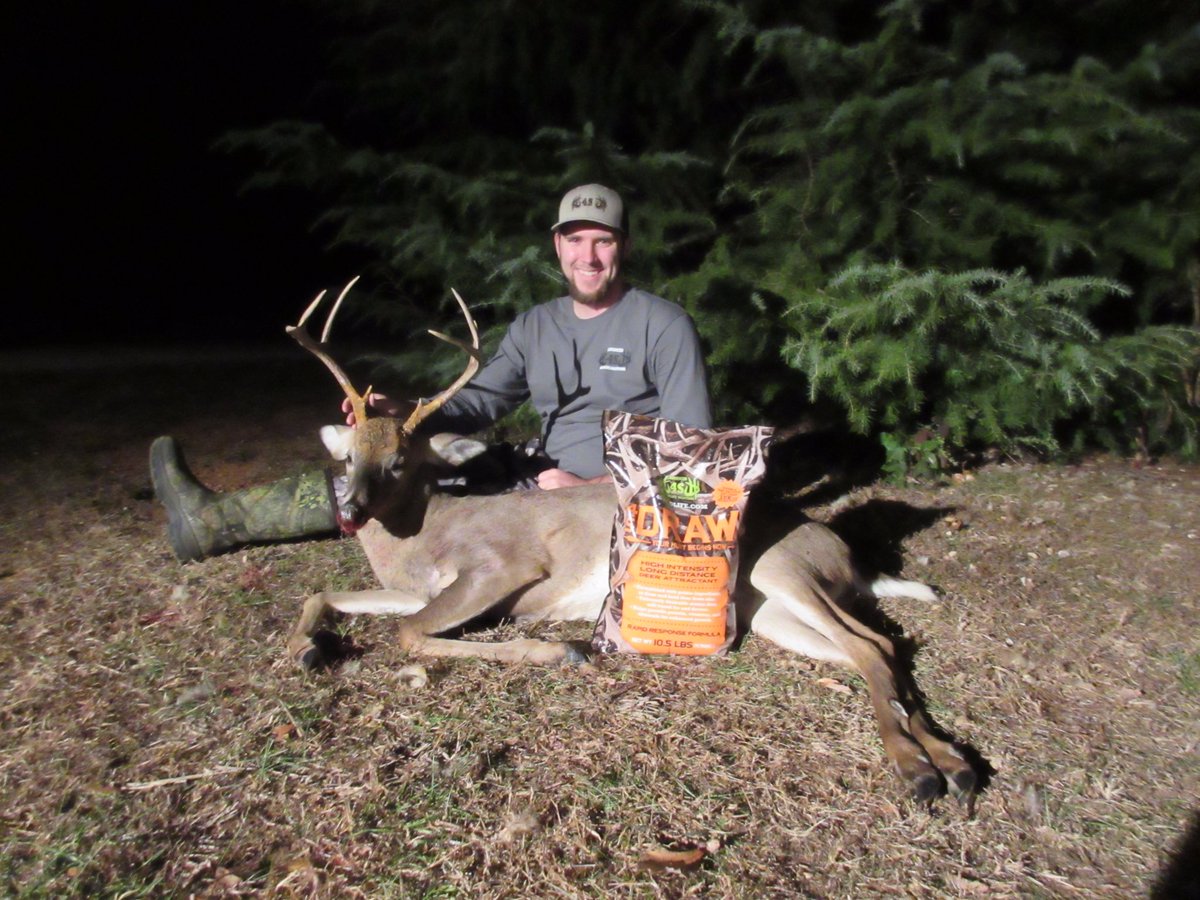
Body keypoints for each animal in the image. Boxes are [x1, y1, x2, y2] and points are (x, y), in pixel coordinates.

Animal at [282, 281, 978, 804]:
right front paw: (308, 649)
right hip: (770, 612)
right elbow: (326, 594)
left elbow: (410, 632)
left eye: (400, 461)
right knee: (876, 650)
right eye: (348, 456)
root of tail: (846, 554)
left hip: (781, 570)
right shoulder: (410, 588)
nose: (350, 511)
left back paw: (920, 771)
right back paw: (951, 763)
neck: (421, 540)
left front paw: (559, 651)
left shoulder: (503, 566)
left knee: (874, 643)